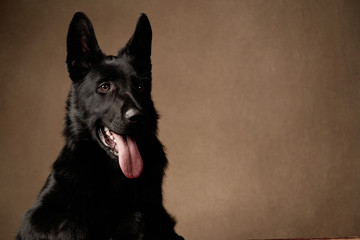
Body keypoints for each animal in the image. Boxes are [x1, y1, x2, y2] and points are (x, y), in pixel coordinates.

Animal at [16, 11, 183, 240]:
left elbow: (137, 219)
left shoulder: (155, 213)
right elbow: (69, 224)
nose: (138, 117)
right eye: (105, 87)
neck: (109, 171)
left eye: (140, 87)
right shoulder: (35, 216)